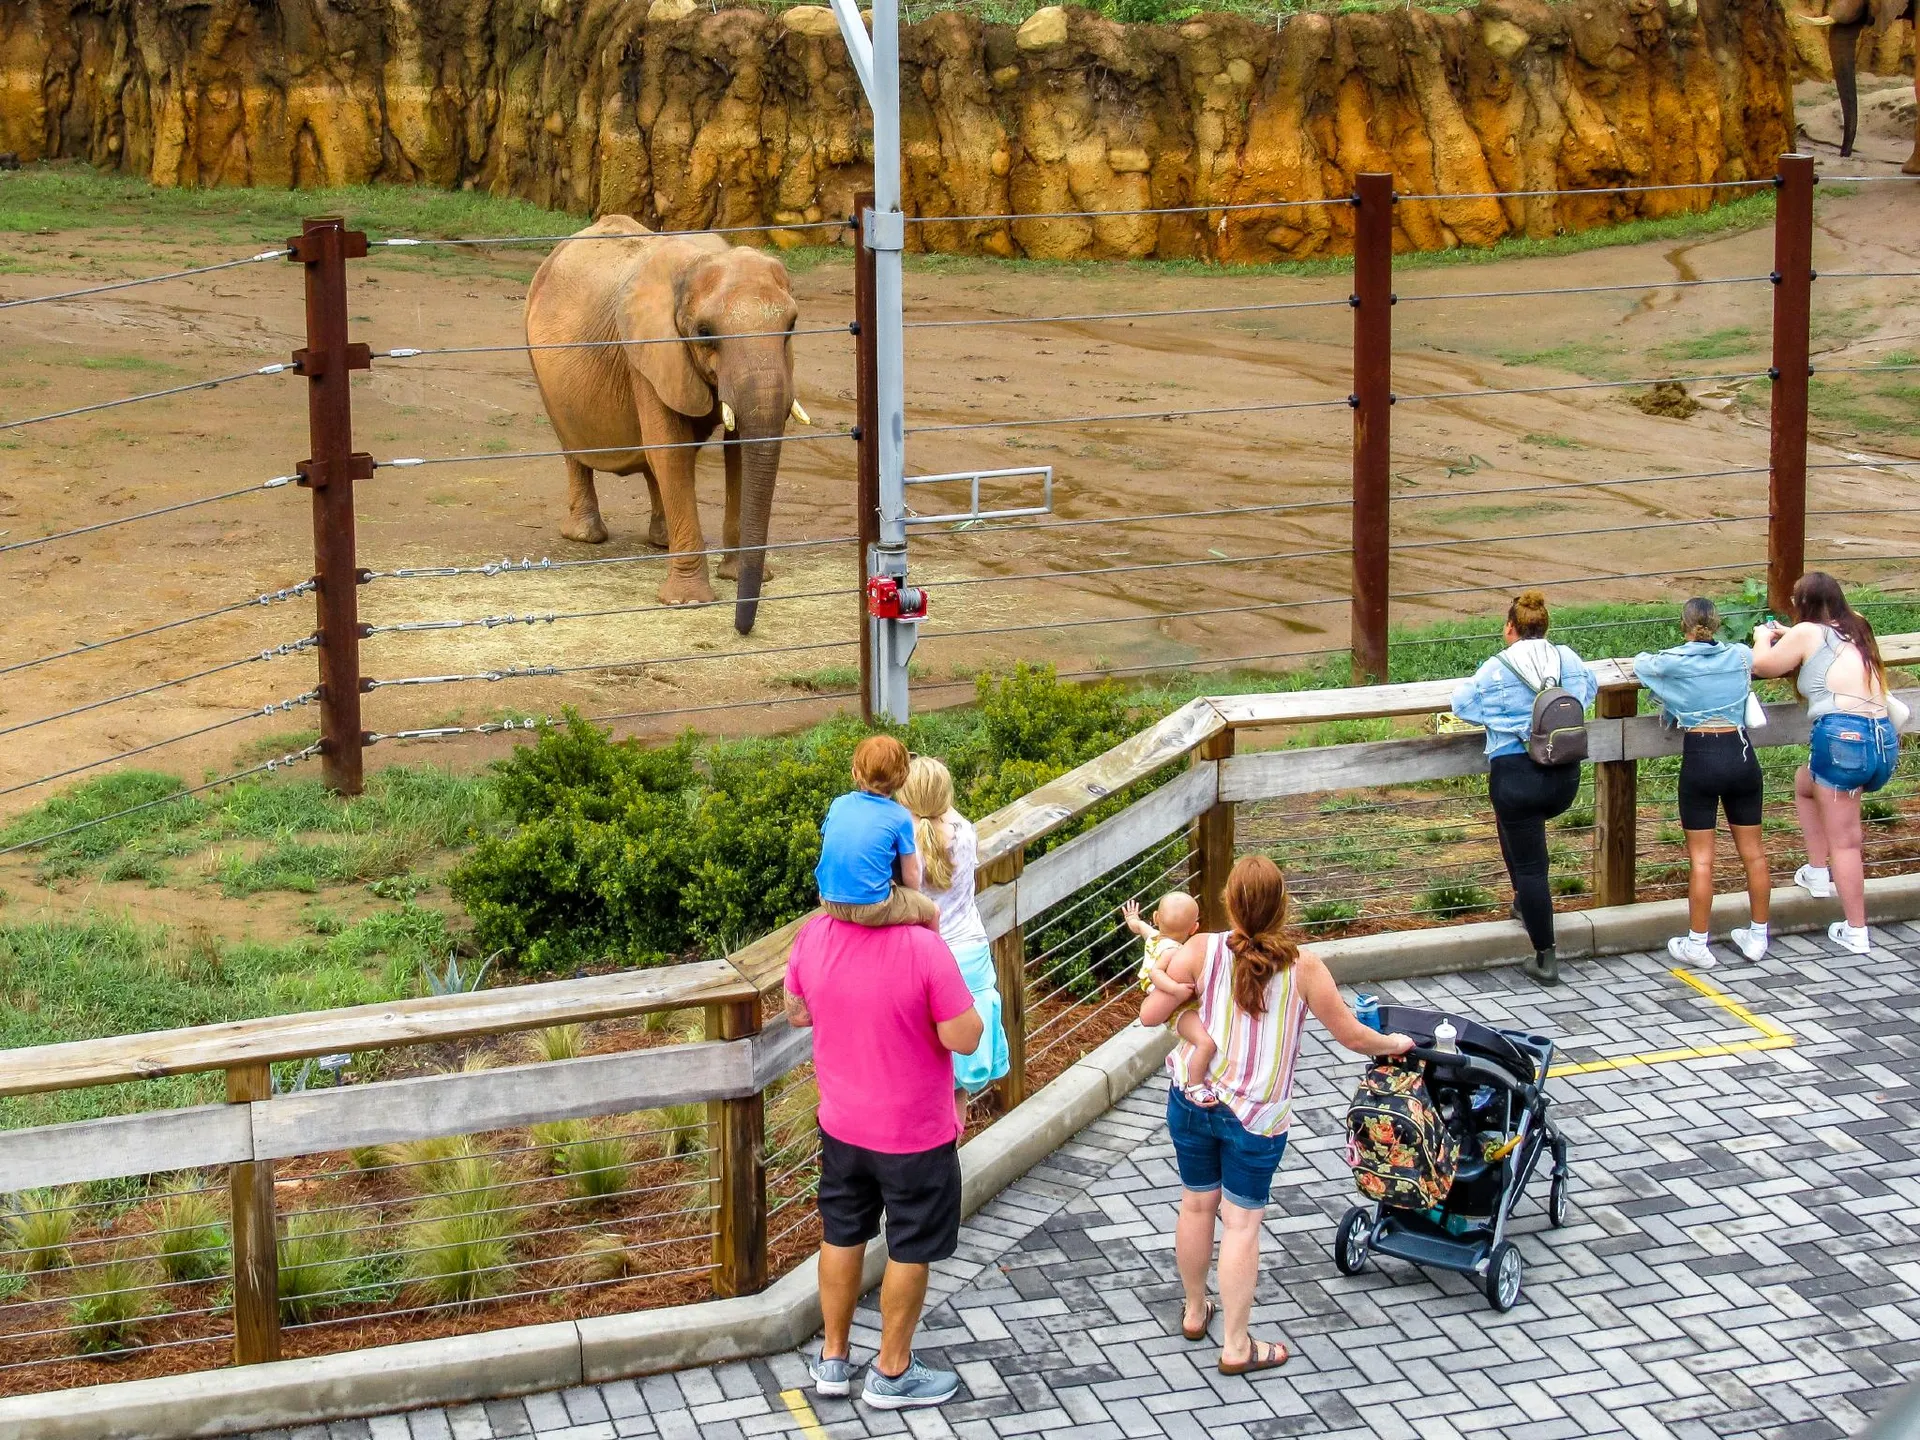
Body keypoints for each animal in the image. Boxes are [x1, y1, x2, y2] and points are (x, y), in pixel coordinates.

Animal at [524, 217, 809, 634]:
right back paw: (587, 536)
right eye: (705, 332)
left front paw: (736, 575)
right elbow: (671, 449)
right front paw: (687, 601)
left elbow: (737, 450)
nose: (741, 628)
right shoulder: (648, 349)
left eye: (791, 326)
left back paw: (661, 541)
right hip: (538, 360)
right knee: (576, 448)